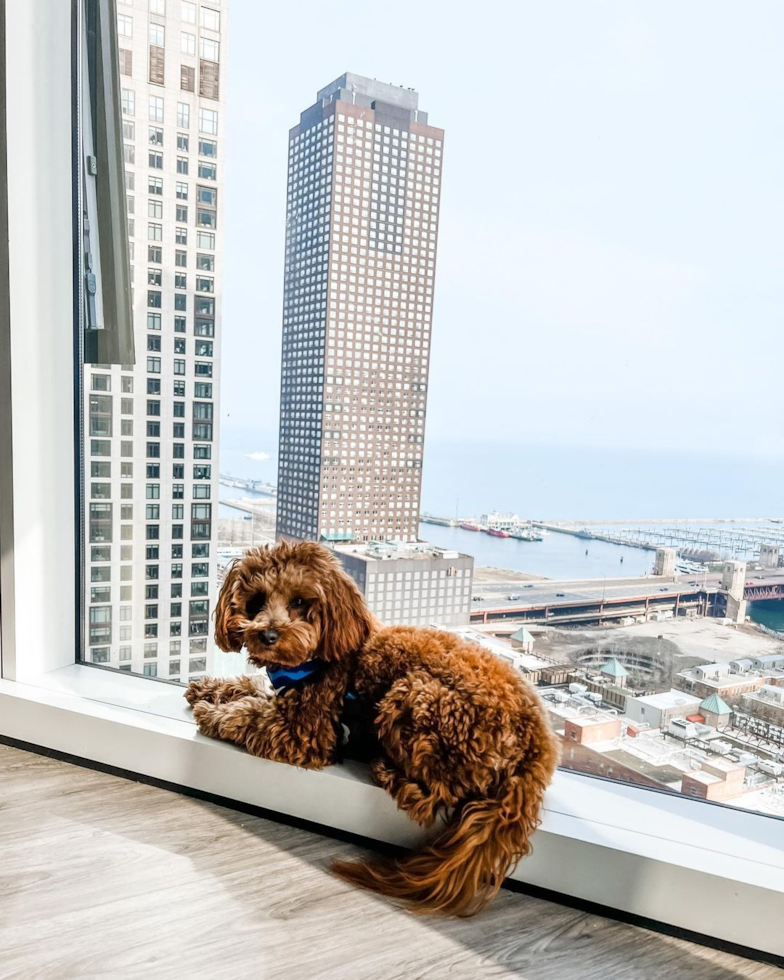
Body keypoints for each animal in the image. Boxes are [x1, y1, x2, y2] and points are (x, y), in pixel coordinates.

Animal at [187, 540, 560, 916]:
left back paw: (388, 770)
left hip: (416, 696)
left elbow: (247, 713)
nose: (268, 635)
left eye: (300, 602)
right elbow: (249, 686)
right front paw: (208, 689)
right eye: (257, 600)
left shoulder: (303, 730)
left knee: (438, 796)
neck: (318, 656)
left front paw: (212, 713)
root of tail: (539, 746)